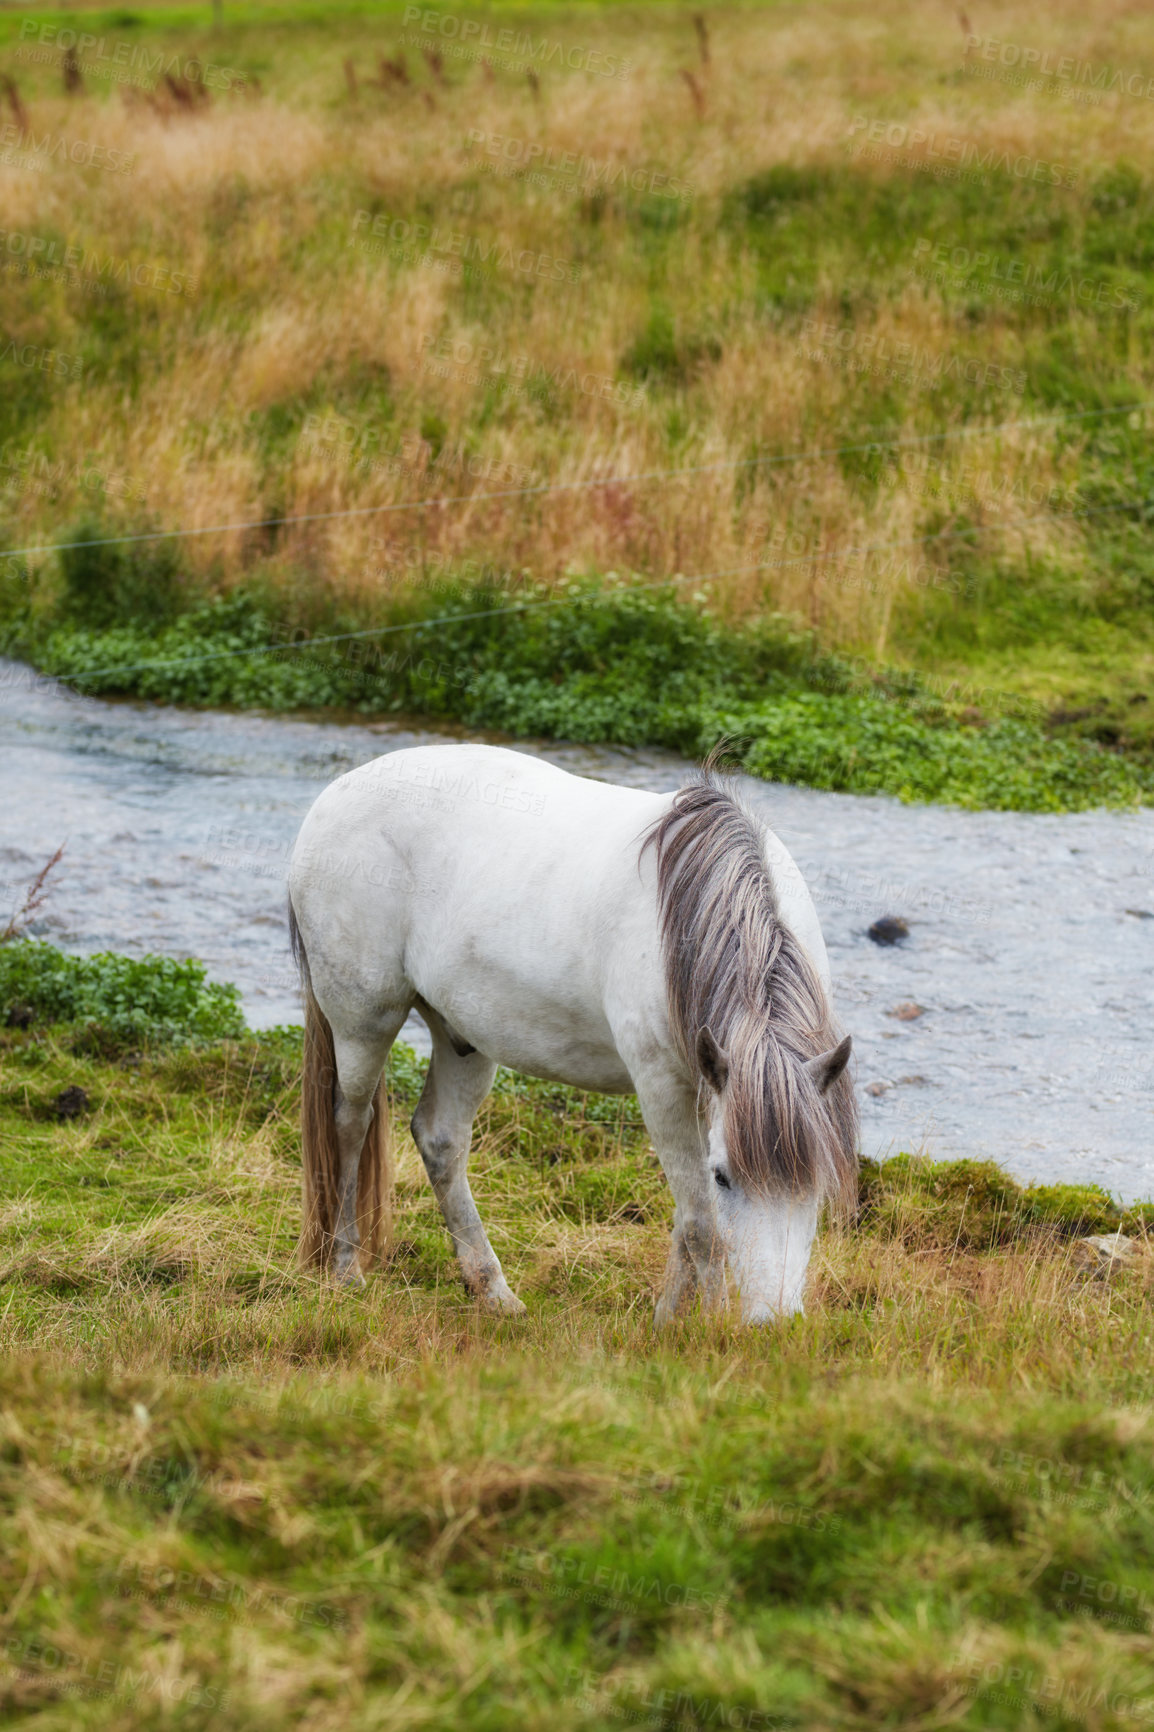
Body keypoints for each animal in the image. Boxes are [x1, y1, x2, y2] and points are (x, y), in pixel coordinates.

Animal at [285, 737, 852, 1316]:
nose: (770, 1323)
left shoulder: (704, 1089)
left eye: (820, 1182)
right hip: (363, 1022)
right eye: (725, 1175)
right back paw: (346, 1269)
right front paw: (706, 1322)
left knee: (441, 1139)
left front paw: (668, 1319)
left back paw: (493, 1291)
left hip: (463, 1035)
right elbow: (703, 1226)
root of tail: (335, 795)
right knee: (351, 1122)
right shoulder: (664, 1092)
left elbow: (684, 1221)